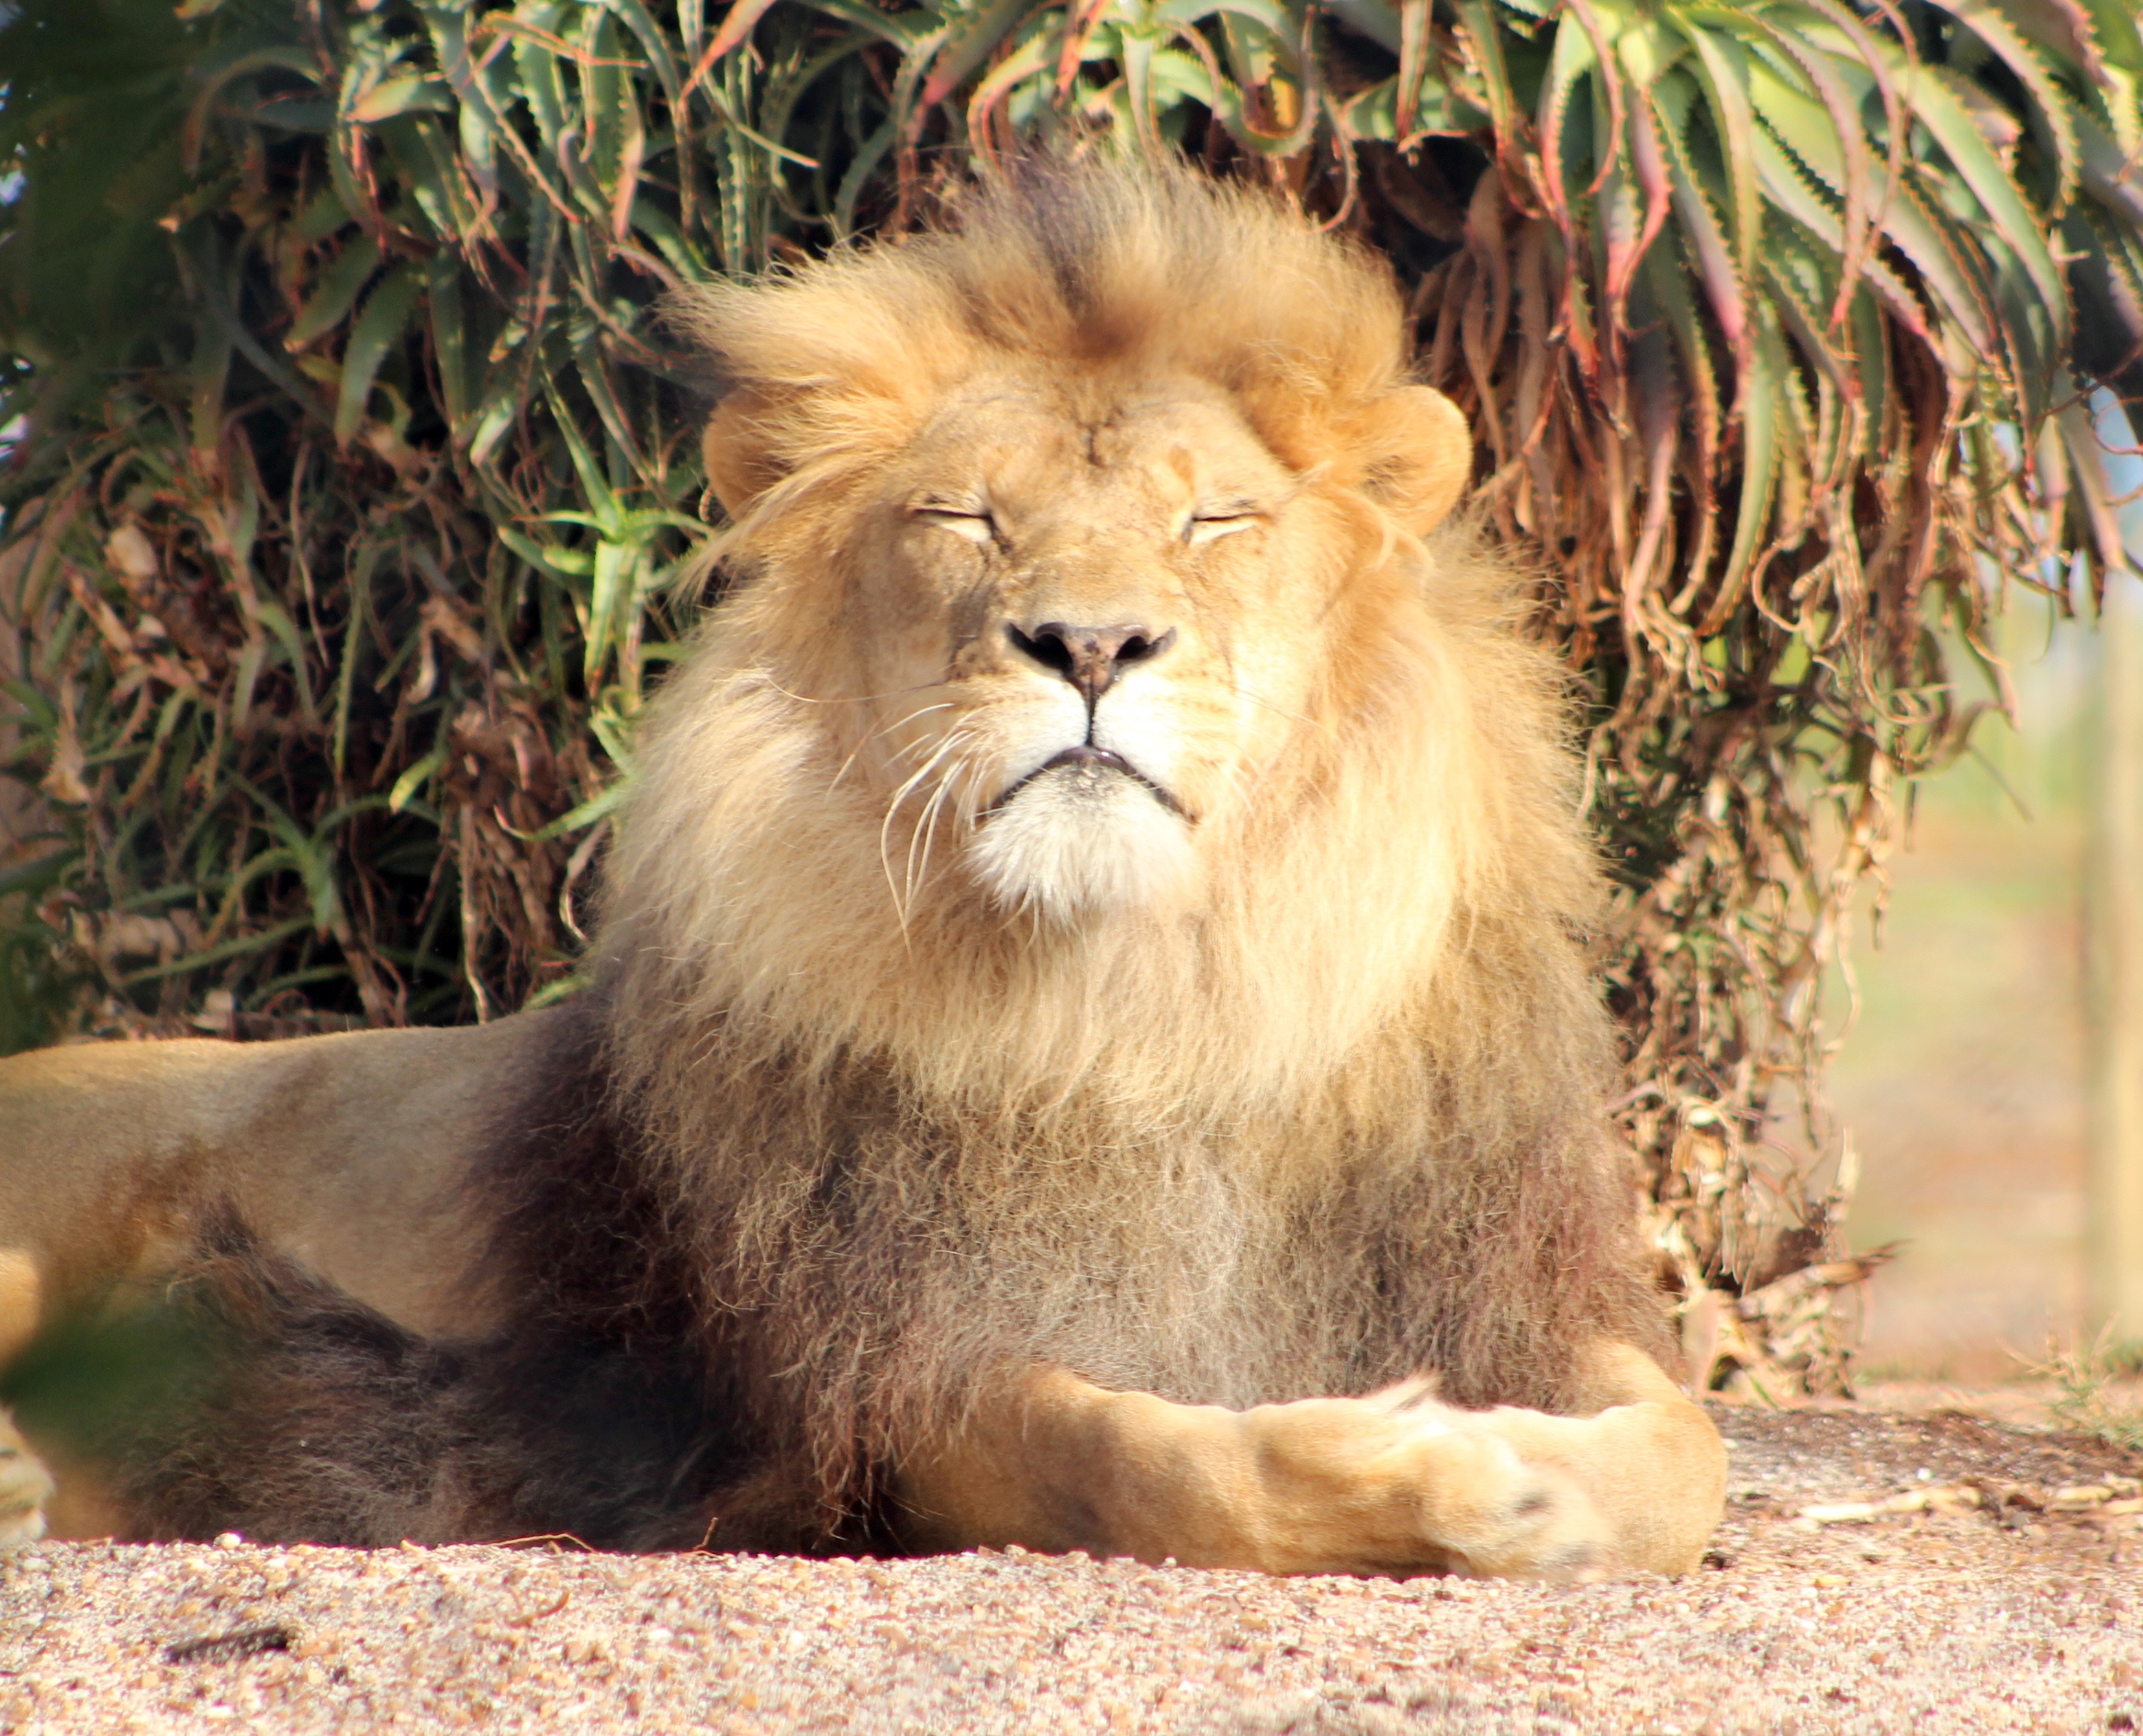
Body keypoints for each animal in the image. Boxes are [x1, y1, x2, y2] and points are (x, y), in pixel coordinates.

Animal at [0, 163, 1725, 1577]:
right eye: (964, 516)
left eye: (1214, 519)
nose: (1088, 642)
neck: (1141, 1011)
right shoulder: (882, 1384)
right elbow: (1134, 1456)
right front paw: (1404, 1467)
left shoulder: (1491, 1281)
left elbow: (1686, 1446)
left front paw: (1533, 1486)